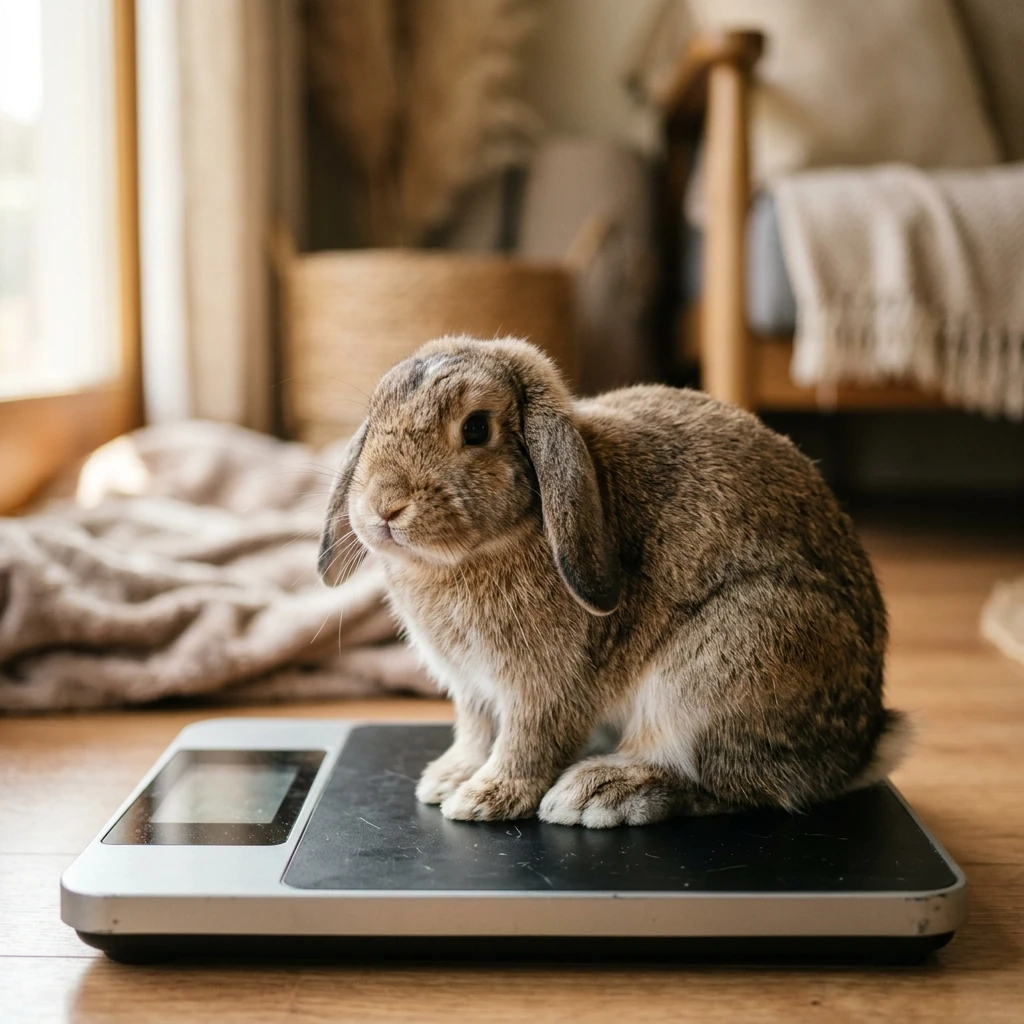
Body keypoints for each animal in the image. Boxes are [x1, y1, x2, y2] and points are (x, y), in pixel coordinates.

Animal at [319, 336, 910, 827]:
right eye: (374, 415)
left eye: (476, 428)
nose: (384, 506)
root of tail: (860, 746)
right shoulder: (473, 690)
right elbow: (475, 731)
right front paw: (447, 778)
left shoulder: (544, 687)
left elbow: (527, 742)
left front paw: (485, 798)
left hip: (725, 664)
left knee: (730, 784)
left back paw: (599, 792)